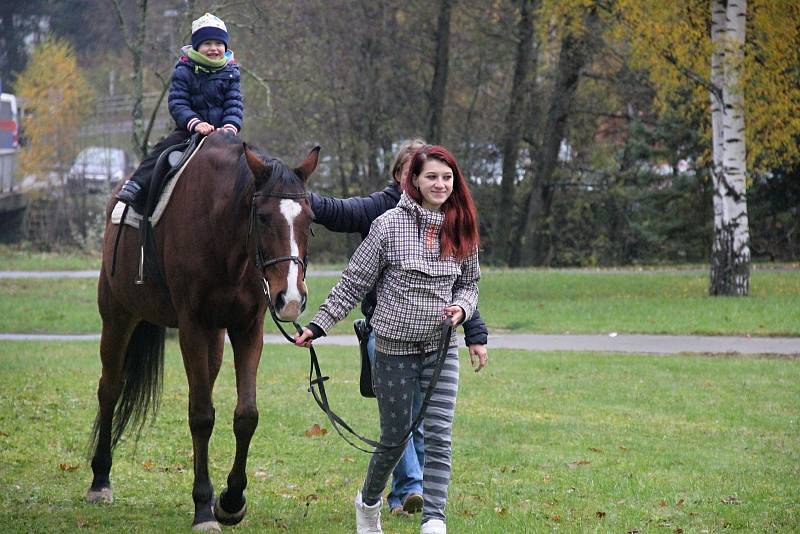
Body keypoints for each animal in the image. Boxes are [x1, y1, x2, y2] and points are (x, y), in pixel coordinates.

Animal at [84, 132, 316, 532]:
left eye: (310, 219)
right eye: (263, 217)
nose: (289, 298)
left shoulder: (247, 328)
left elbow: (246, 415)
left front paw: (231, 500)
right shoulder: (192, 327)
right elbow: (201, 416)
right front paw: (204, 509)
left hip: (214, 339)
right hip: (118, 316)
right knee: (109, 390)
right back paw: (100, 481)